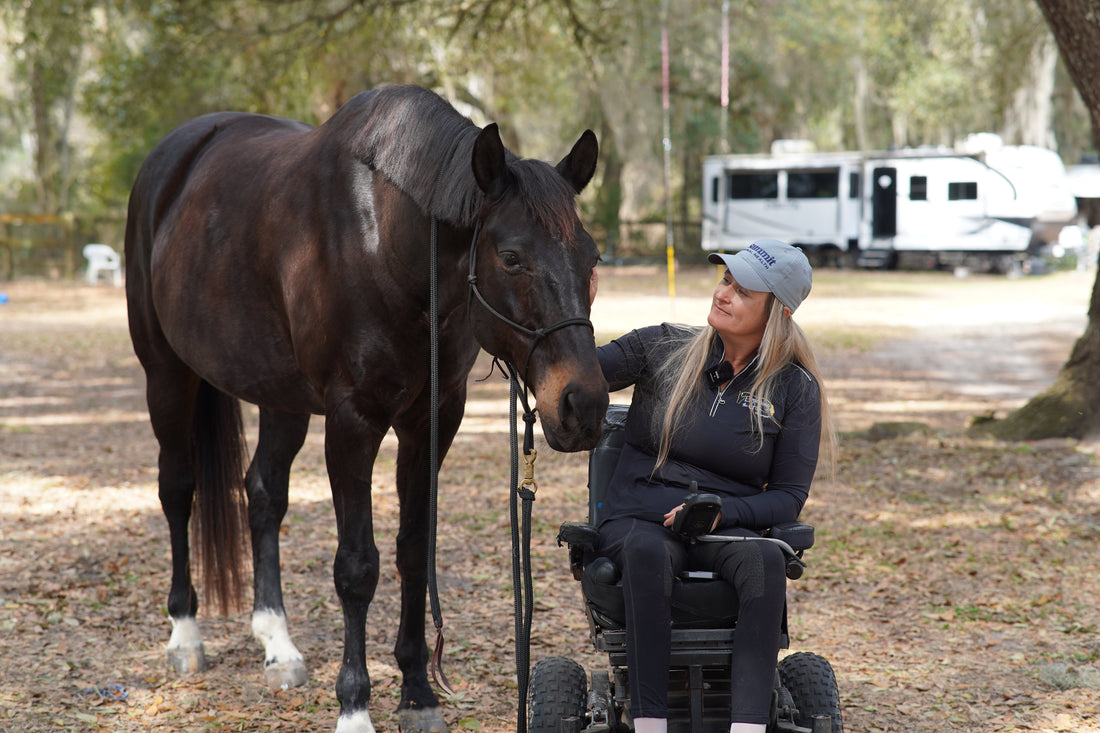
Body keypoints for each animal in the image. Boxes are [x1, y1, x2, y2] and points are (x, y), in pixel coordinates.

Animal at [124, 84, 609, 733]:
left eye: (592, 258)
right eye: (511, 257)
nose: (584, 405)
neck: (381, 240)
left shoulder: (432, 420)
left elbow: (413, 552)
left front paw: (418, 692)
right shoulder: (352, 423)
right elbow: (357, 567)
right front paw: (355, 706)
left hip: (281, 397)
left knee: (263, 496)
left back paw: (278, 644)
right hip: (168, 377)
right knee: (178, 490)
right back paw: (184, 636)